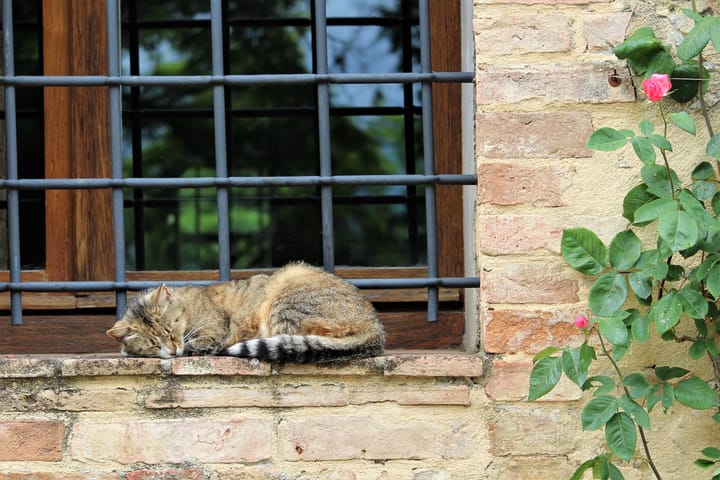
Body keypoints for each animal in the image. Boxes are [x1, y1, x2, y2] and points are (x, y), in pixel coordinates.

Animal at [105, 264, 386, 362]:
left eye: (171, 330)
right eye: (153, 343)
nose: (173, 350)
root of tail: (374, 325)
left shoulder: (217, 328)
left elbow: (204, 343)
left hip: (287, 293)